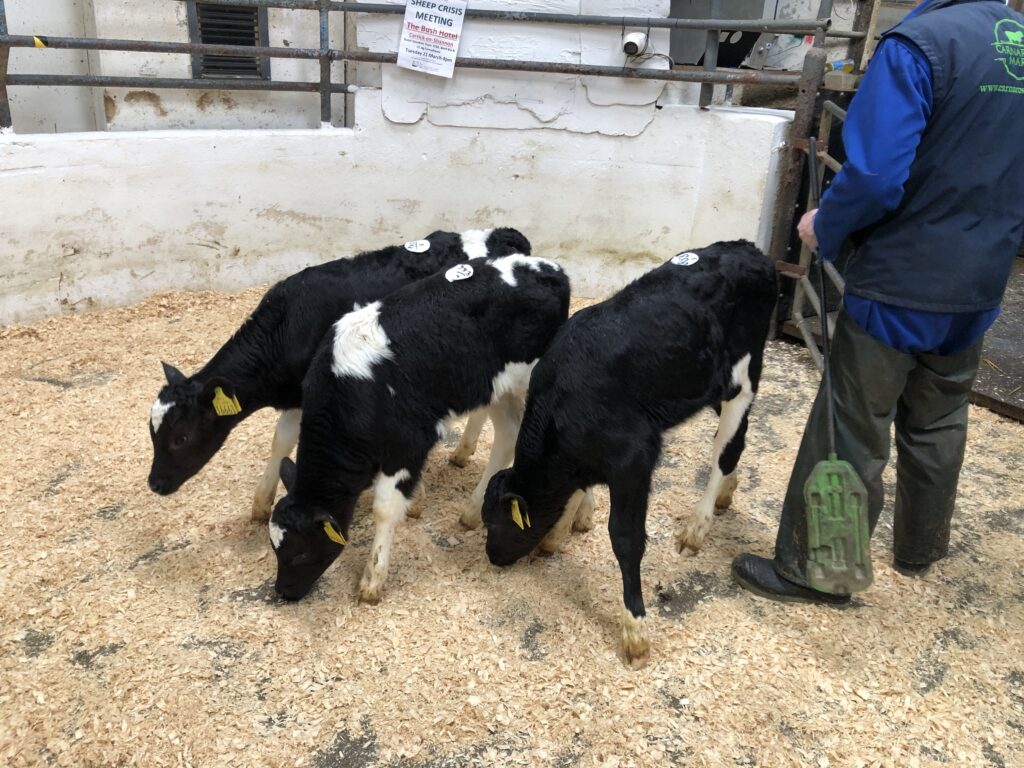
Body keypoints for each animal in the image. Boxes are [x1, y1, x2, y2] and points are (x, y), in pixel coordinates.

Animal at [148, 228, 530, 520]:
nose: (154, 484)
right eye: (153, 434)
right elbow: (280, 442)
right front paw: (261, 502)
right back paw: (462, 451)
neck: (286, 325)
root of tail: (505, 235)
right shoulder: (296, 395)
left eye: (180, 438)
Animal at [268, 254, 572, 604]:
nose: (283, 591)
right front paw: (417, 501)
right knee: (508, 434)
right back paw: (473, 510)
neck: (349, 390)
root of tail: (548, 267)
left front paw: (373, 580)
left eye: (300, 553)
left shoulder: (407, 443)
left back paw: (563, 528)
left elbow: (385, 509)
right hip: (495, 387)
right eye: (274, 548)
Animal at [480, 241, 777, 668]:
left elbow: (624, 537)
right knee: (737, 437)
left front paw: (635, 629)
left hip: (743, 375)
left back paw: (697, 525)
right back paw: (726, 492)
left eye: (495, 523)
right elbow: (577, 497)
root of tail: (747, 248)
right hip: (709, 384)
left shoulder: (633, 459)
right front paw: (560, 531)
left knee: (726, 446)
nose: (491, 555)